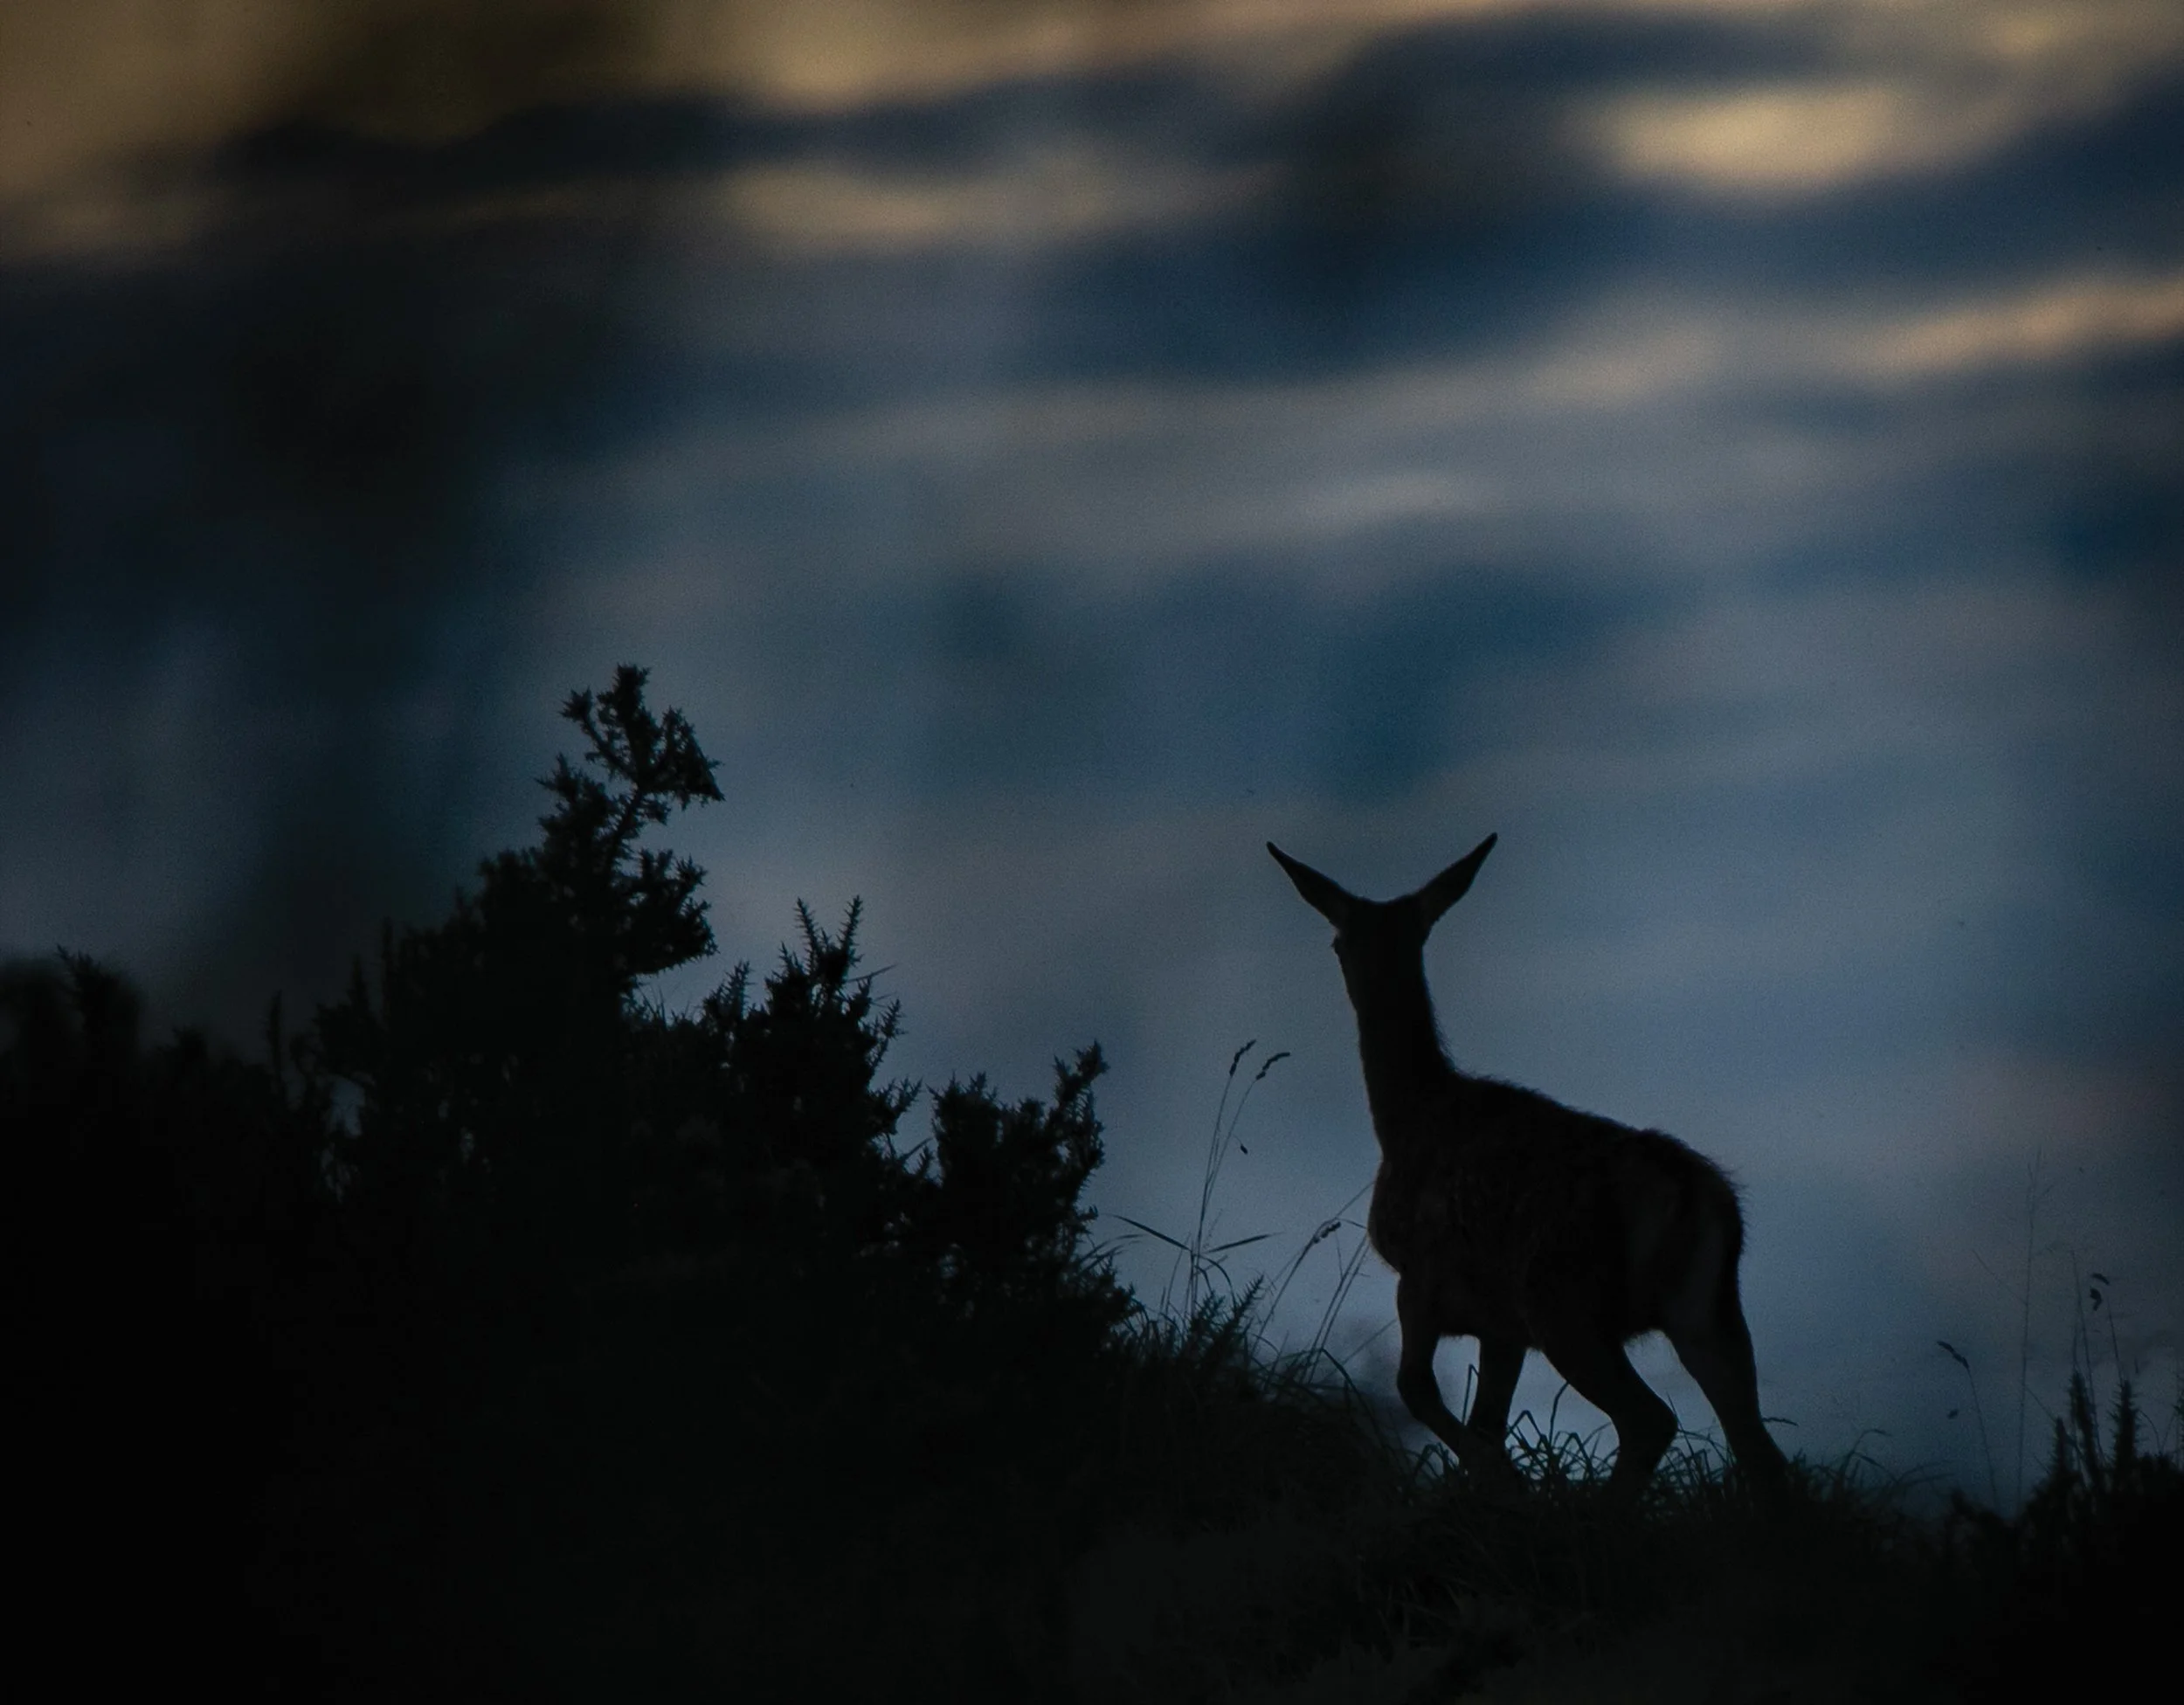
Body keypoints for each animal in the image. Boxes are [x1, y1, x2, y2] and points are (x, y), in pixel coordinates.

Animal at [1269, 834, 1790, 1504]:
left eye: (1336, 942)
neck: (1408, 1117)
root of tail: (1694, 1197)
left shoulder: (1421, 1277)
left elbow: (1419, 1391)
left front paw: (1505, 1483)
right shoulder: (1502, 1327)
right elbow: (1484, 1421)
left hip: (1564, 1302)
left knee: (1651, 1419)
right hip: (1709, 1311)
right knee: (1763, 1453)